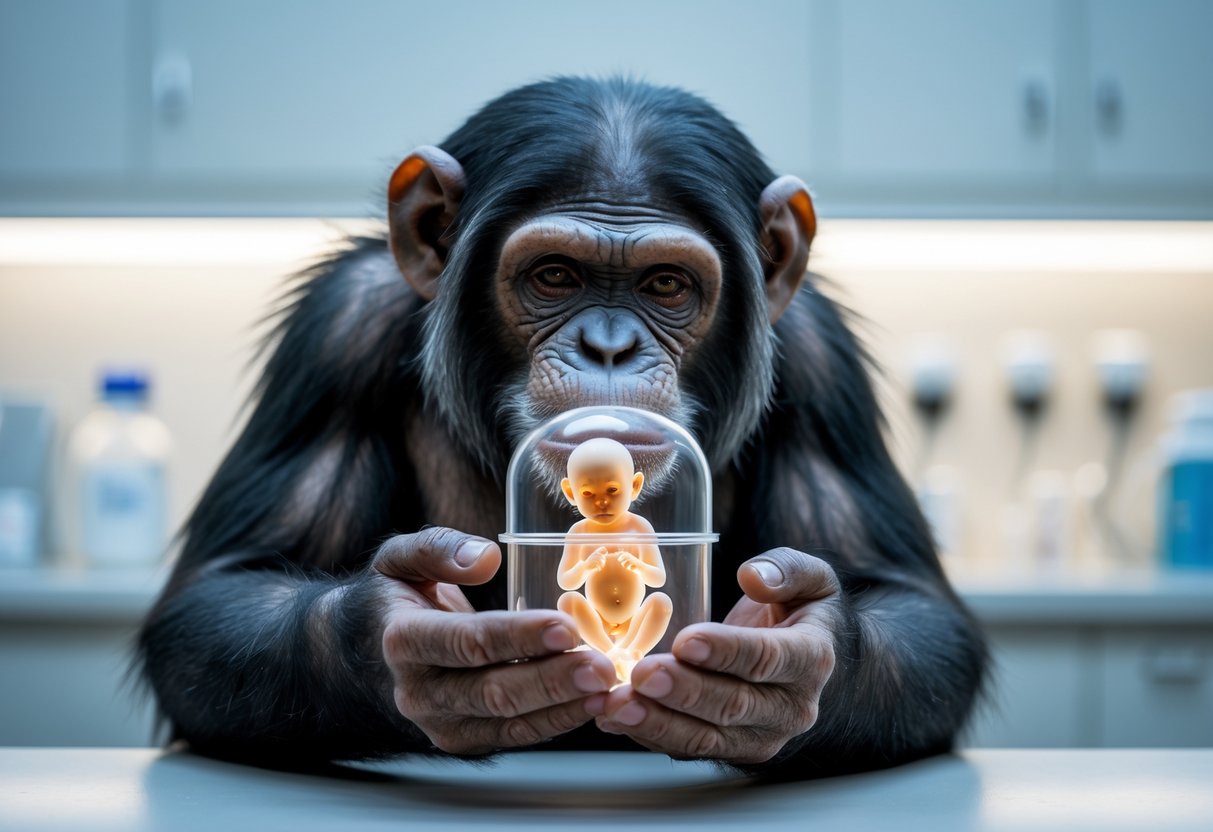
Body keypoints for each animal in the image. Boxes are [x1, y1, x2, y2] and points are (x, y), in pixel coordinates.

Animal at [137, 76, 987, 776]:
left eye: (666, 285)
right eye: (554, 276)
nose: (607, 346)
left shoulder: (820, 359)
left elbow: (907, 604)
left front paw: (794, 659)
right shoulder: (335, 330)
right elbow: (228, 589)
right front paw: (398, 639)